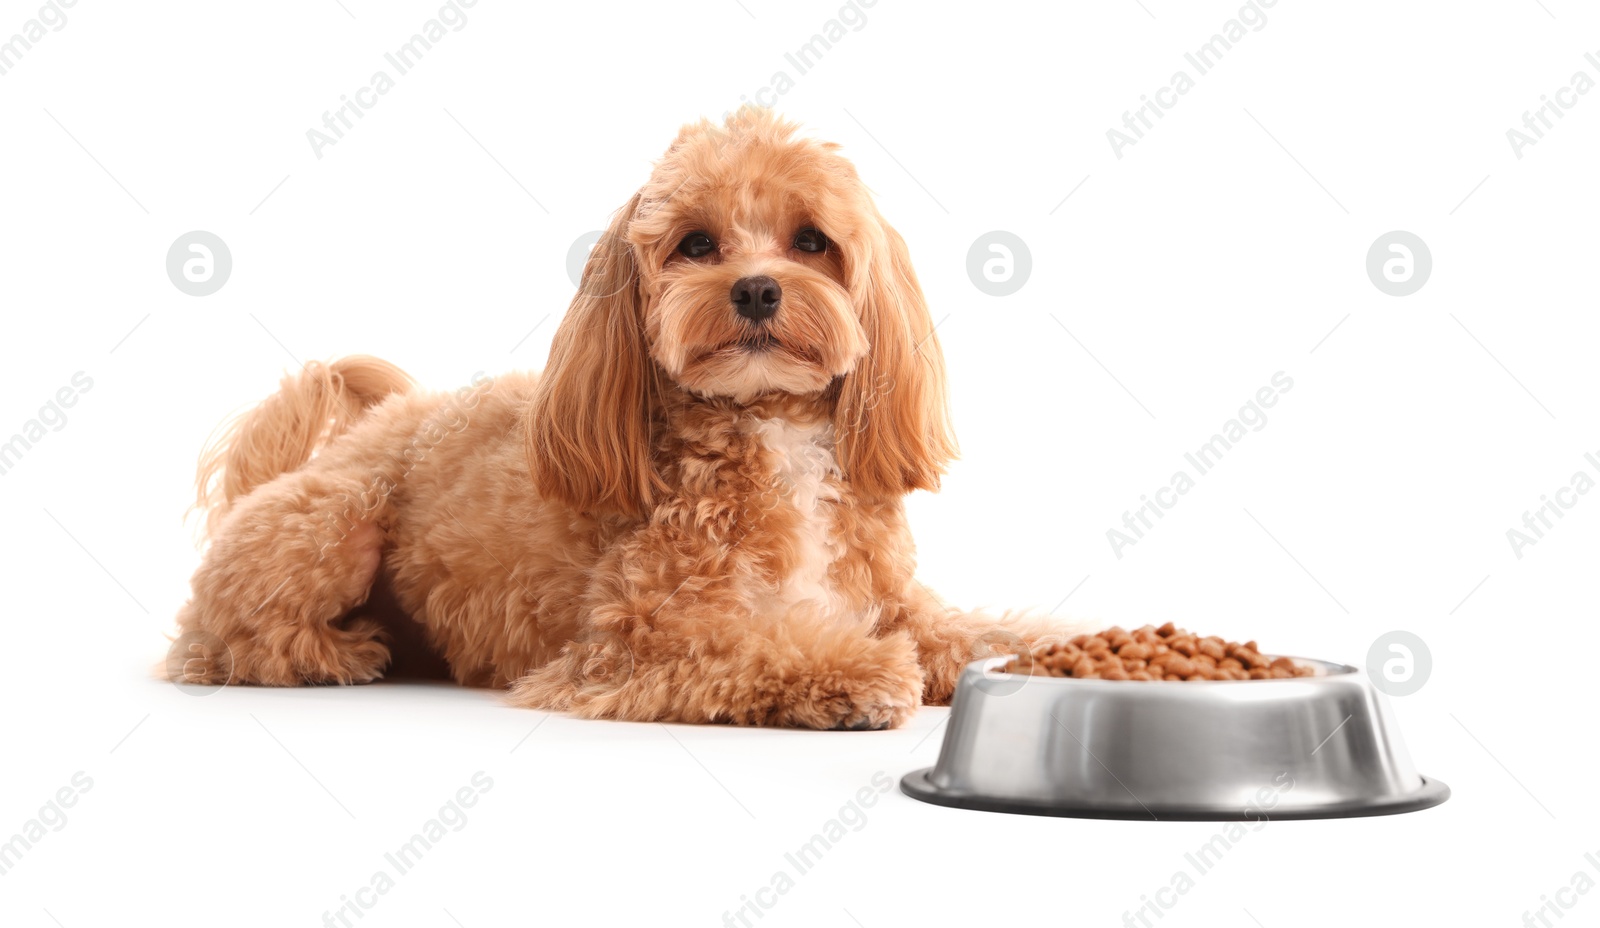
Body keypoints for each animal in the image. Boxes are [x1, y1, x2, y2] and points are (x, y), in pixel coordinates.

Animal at [175, 108, 1056, 729]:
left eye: (812, 240)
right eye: (695, 244)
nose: (757, 288)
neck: (770, 428)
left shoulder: (892, 602)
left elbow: (965, 632)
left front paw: (1048, 646)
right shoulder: (635, 642)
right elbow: (755, 645)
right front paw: (864, 676)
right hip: (337, 519)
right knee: (220, 641)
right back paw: (335, 652)